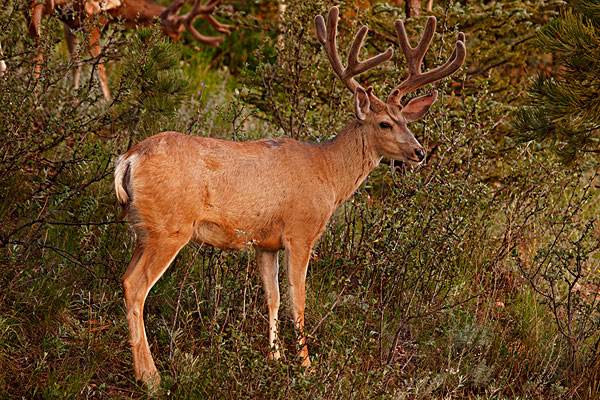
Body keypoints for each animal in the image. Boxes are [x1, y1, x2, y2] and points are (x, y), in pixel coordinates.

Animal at [24, 0, 230, 99]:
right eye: (174, 32)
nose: (174, 50)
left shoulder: (71, 24)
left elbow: (75, 64)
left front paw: (71, 99)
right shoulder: (93, 20)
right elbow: (100, 70)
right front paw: (106, 104)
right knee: (38, 49)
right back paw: (30, 98)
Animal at [113, 6, 464, 388]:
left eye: (407, 121)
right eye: (385, 123)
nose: (419, 152)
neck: (328, 173)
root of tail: (129, 158)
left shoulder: (266, 243)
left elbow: (273, 298)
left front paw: (275, 358)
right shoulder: (301, 232)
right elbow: (299, 299)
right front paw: (307, 366)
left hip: (144, 229)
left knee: (124, 278)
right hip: (169, 228)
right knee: (136, 285)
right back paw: (150, 376)